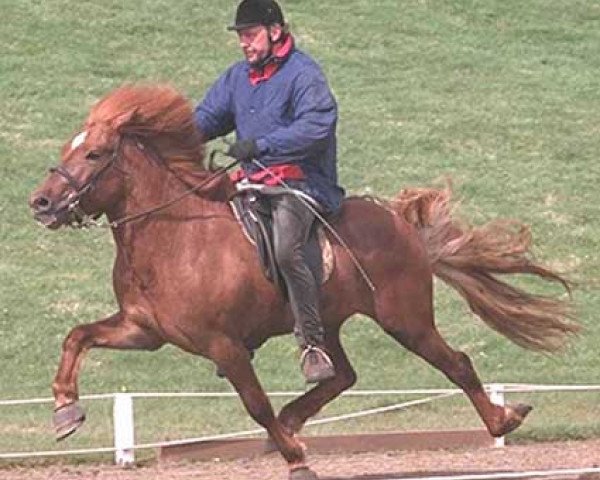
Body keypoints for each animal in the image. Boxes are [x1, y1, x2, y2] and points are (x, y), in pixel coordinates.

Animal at [28, 84, 576, 478]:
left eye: (94, 155)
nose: (42, 202)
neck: (174, 237)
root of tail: (400, 222)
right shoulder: (143, 331)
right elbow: (77, 337)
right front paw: (65, 411)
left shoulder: (223, 344)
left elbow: (254, 404)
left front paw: (296, 459)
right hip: (326, 323)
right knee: (342, 375)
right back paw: (294, 421)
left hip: (406, 320)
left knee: (456, 364)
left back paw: (503, 420)